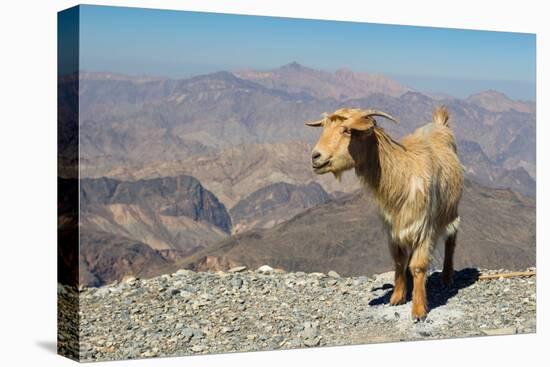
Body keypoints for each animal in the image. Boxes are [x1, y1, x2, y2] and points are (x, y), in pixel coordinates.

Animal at [308, 107, 464, 322]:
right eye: (323, 128)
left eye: (347, 130)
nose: (315, 156)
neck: (401, 175)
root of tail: (440, 124)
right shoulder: (392, 228)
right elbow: (398, 260)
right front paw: (397, 297)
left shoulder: (424, 226)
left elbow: (418, 266)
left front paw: (418, 310)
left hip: (451, 211)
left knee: (451, 239)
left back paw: (447, 277)